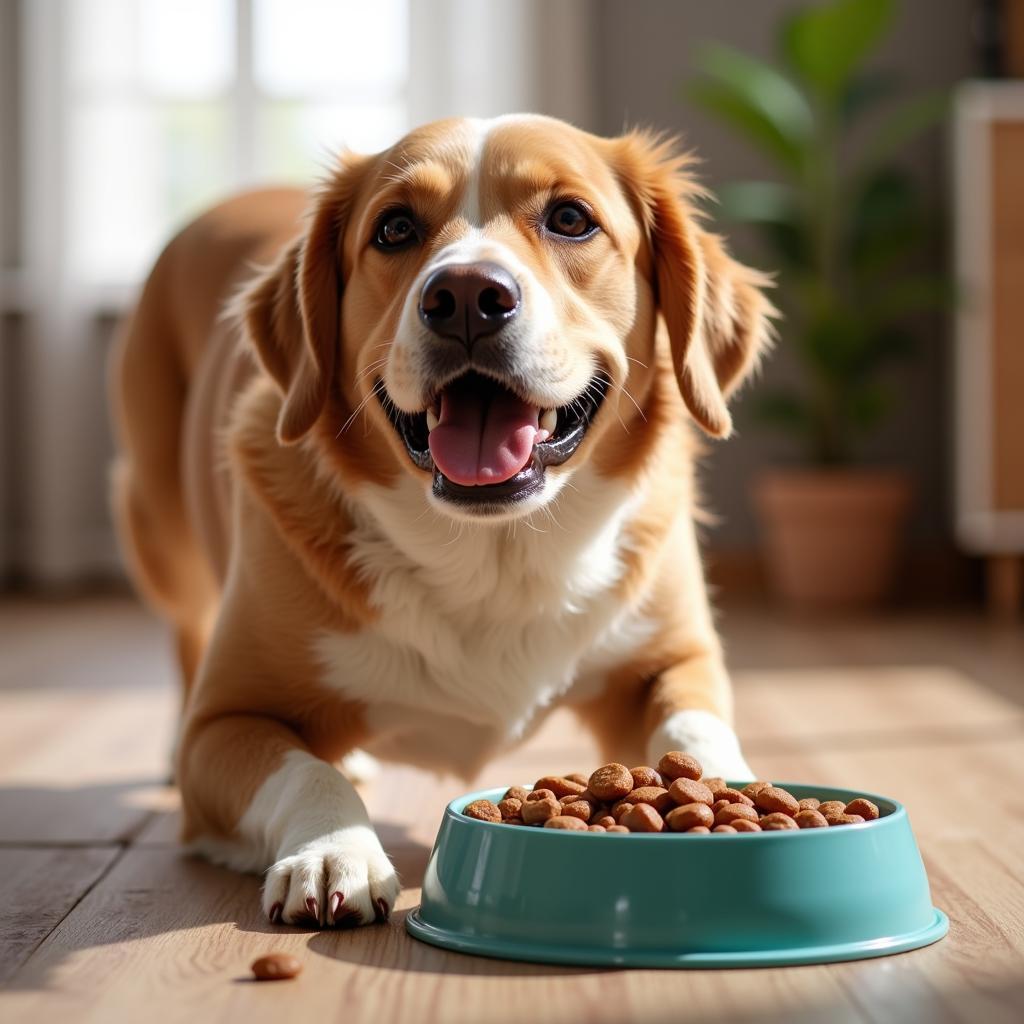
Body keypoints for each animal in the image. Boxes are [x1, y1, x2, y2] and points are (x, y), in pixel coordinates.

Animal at [110, 114, 770, 929]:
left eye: (571, 218)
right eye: (395, 228)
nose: (465, 295)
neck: (494, 551)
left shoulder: (673, 661)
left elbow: (695, 729)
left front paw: (736, 793)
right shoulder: (225, 723)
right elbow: (306, 774)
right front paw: (335, 849)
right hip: (154, 528)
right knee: (186, 633)